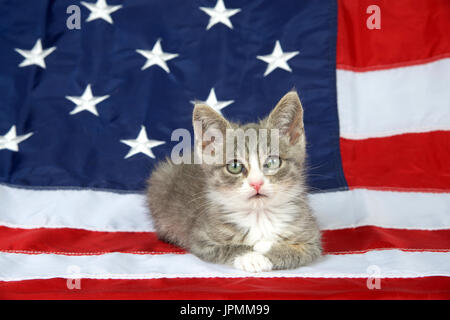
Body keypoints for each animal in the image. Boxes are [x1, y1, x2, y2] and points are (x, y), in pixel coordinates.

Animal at [147, 90, 320, 272]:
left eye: (273, 162)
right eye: (235, 166)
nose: (256, 183)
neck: (259, 216)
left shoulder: (311, 237)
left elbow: (298, 251)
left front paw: (266, 247)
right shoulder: (201, 239)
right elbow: (227, 248)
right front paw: (251, 257)